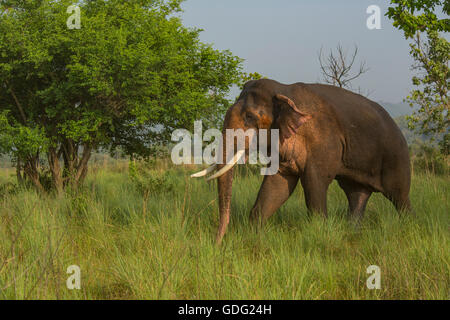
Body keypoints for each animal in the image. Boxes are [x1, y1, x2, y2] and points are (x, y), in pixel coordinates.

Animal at [191, 79, 412, 242]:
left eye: (249, 117)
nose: (217, 243)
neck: (284, 91)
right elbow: (277, 187)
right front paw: (253, 233)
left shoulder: (323, 142)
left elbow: (314, 183)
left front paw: (319, 230)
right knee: (357, 196)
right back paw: (353, 233)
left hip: (397, 158)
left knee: (399, 197)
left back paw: (407, 227)